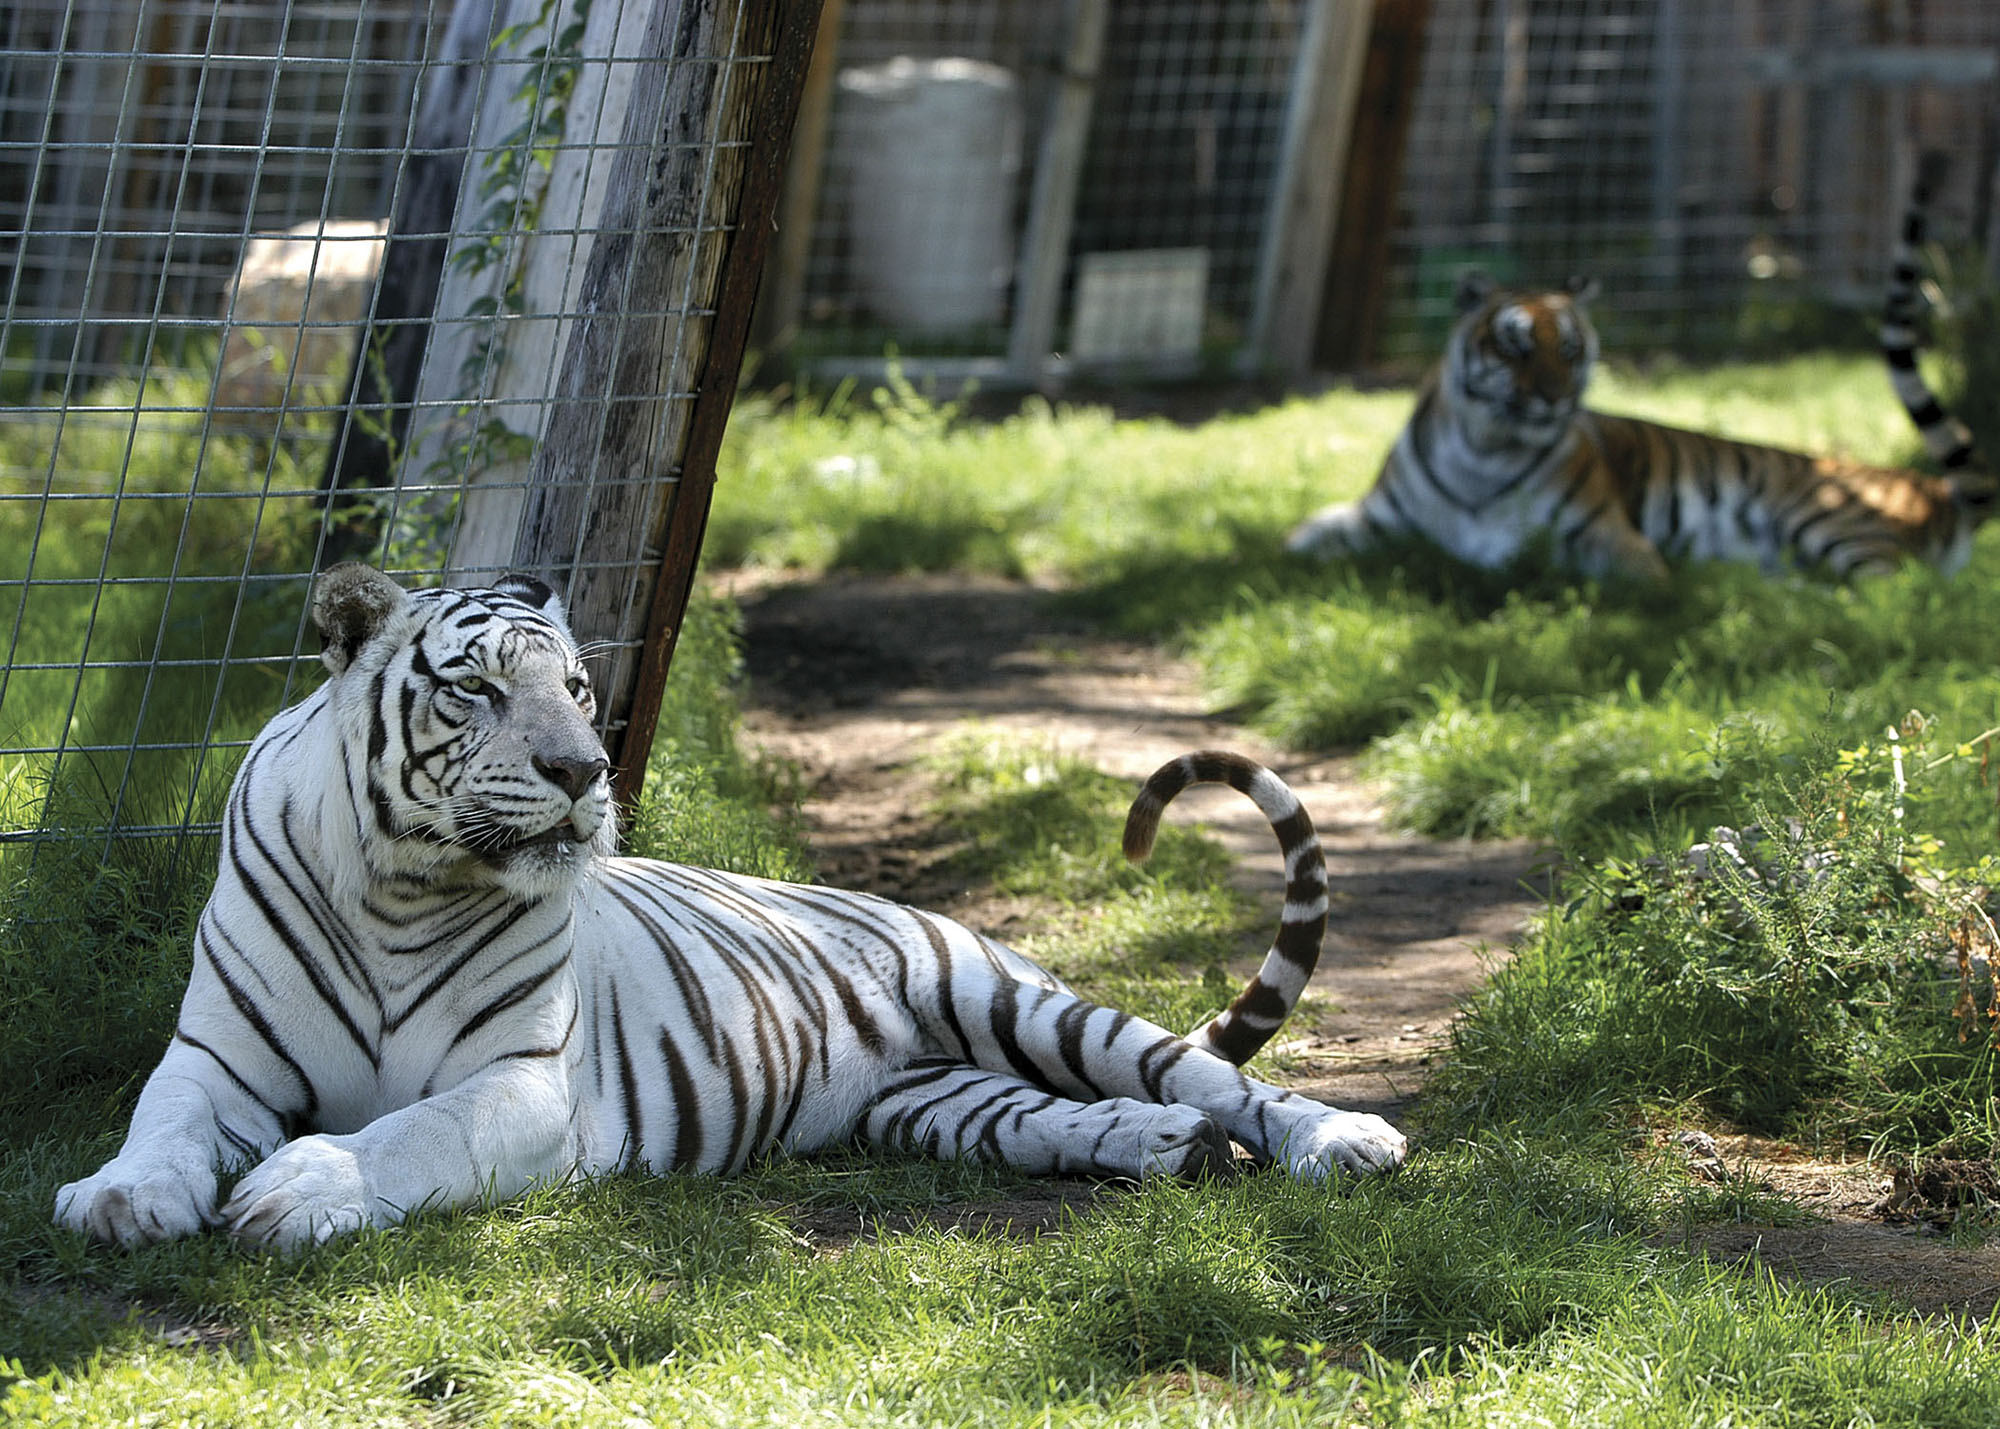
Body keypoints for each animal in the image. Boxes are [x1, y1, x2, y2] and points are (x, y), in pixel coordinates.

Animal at [62, 560, 1408, 1240]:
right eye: (477, 691)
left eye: (573, 687)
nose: (582, 770)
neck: (407, 880)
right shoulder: (218, 1058)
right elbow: (161, 1119)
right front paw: (122, 1196)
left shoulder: (527, 1086)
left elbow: (410, 1130)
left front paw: (299, 1189)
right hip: (933, 1103)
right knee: (1058, 1118)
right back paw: (1155, 1146)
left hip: (1015, 1001)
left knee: (1217, 1077)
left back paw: (1342, 1141)